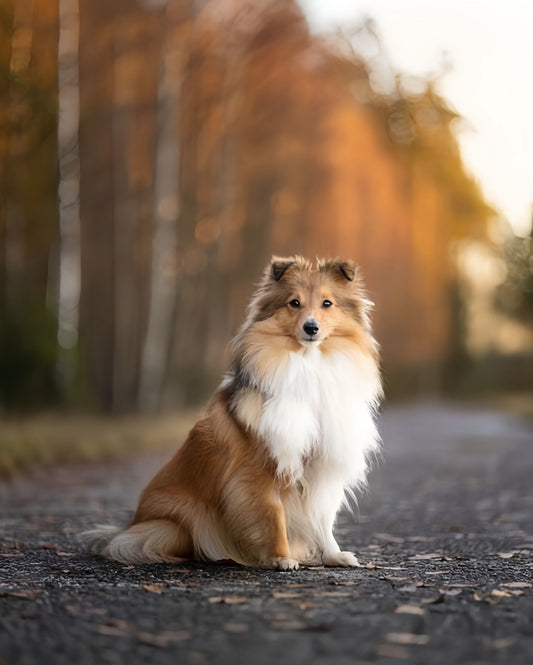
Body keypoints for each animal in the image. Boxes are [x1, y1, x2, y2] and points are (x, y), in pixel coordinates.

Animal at [82, 256, 382, 568]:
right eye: (294, 303)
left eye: (327, 303)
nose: (311, 328)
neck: (308, 364)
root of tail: (128, 526)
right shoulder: (259, 470)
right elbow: (274, 514)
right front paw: (281, 558)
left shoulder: (323, 464)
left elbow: (323, 516)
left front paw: (333, 555)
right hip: (174, 524)